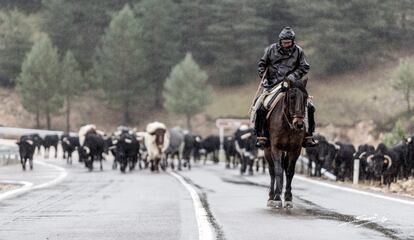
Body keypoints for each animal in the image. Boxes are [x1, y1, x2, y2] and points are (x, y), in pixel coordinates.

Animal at [266, 80, 308, 208]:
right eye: (292, 97)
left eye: (305, 97)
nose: (299, 124)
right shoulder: (276, 148)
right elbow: (278, 171)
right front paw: (277, 198)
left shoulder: (295, 149)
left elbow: (289, 172)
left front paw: (288, 198)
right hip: (267, 150)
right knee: (272, 170)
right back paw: (271, 196)